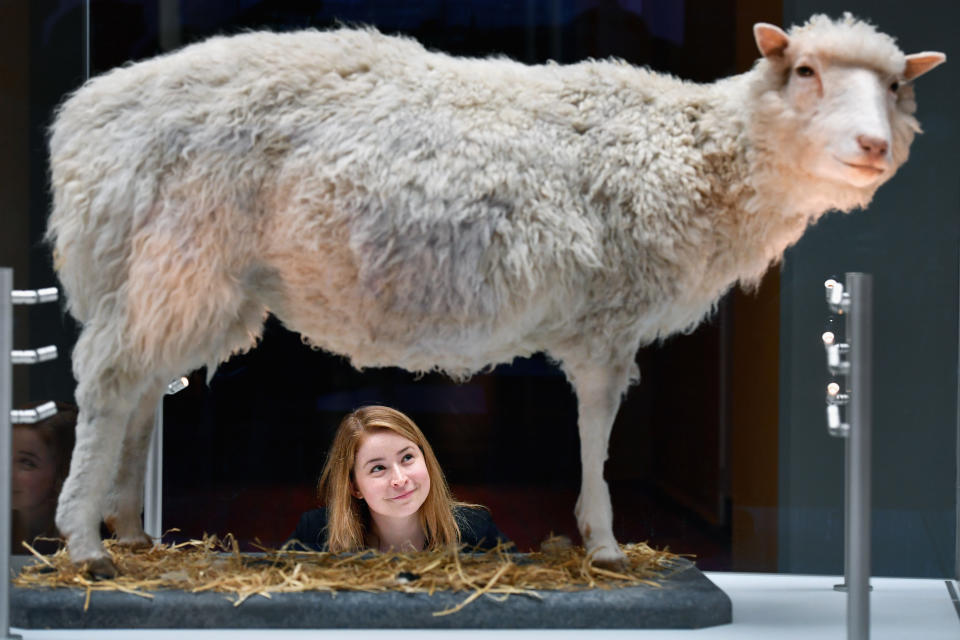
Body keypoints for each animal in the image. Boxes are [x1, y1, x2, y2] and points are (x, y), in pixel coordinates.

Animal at [47, 13, 944, 576]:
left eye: (898, 89)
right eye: (806, 72)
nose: (872, 146)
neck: (696, 153)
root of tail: (84, 119)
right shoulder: (607, 315)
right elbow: (596, 427)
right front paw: (605, 543)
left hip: (172, 276)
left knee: (138, 393)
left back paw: (130, 532)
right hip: (181, 256)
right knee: (109, 384)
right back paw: (84, 542)